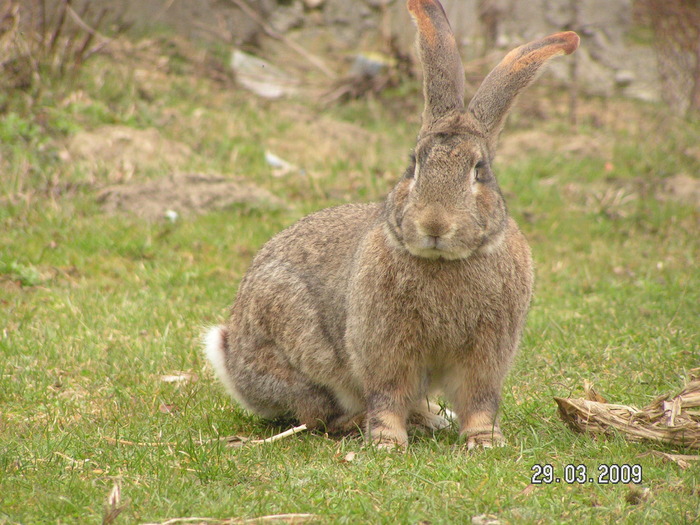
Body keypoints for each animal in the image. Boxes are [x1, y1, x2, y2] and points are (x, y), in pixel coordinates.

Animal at [204, 1, 580, 450]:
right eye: (413, 165)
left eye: (479, 171)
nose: (434, 223)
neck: (444, 261)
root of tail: (232, 363)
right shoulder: (385, 347)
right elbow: (388, 394)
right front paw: (387, 443)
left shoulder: (487, 354)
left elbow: (479, 398)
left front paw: (485, 440)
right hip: (294, 345)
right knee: (315, 413)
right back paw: (368, 423)